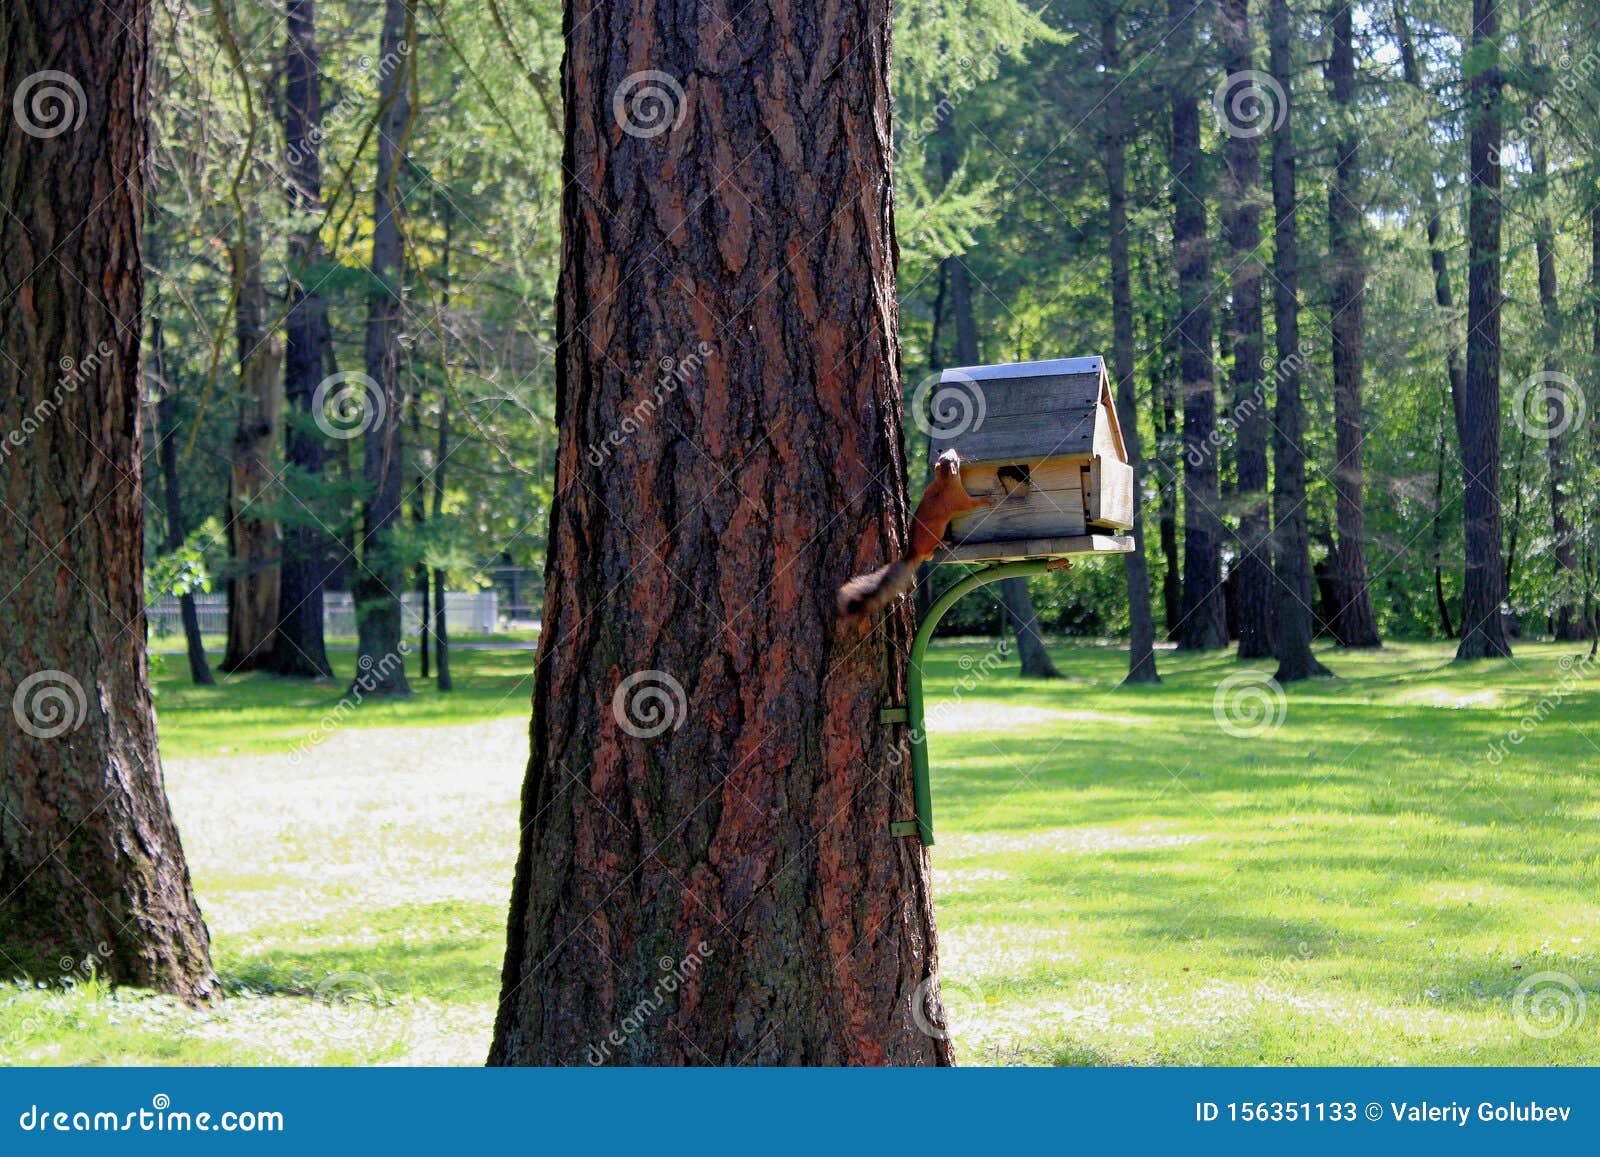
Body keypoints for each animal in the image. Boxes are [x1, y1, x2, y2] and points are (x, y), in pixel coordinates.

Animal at [837, 449, 999, 617]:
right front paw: (988, 500)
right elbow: (970, 504)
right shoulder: (958, 498)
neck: (944, 481)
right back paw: (941, 544)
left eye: (944, 457)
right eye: (952, 459)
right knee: (928, 553)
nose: (952, 450)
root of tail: (914, 551)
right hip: (936, 532)